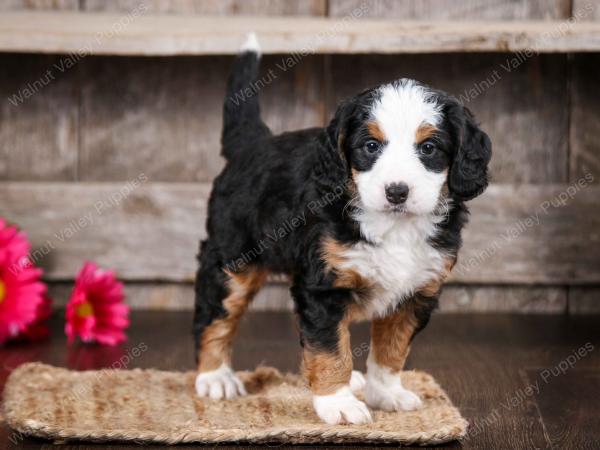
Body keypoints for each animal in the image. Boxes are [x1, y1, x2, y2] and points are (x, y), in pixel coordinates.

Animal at [193, 33, 492, 424]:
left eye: (428, 148)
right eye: (370, 146)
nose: (397, 191)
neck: (393, 226)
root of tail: (254, 143)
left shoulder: (416, 291)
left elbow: (391, 349)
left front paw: (386, 393)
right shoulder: (324, 287)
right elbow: (330, 349)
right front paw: (338, 403)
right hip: (232, 257)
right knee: (217, 314)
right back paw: (215, 377)